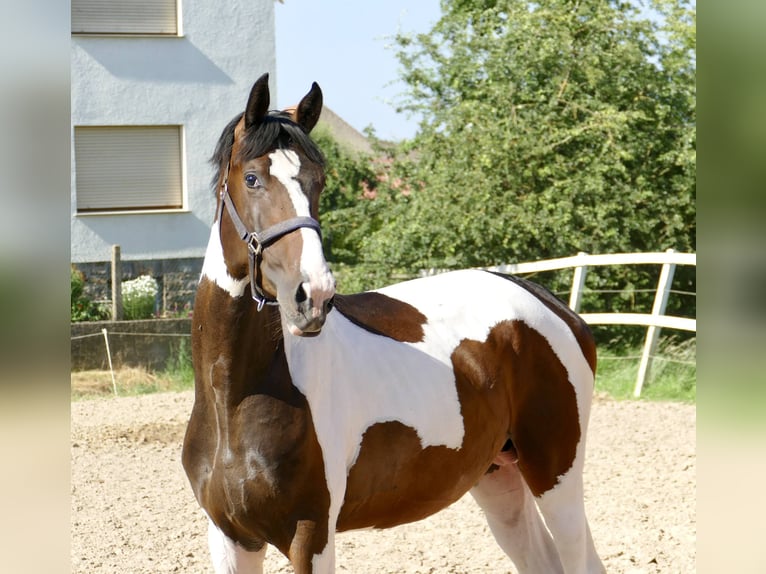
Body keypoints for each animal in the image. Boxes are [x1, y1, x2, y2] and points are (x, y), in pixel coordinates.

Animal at [183, 73, 608, 574]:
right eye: (251, 179)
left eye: (318, 181)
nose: (314, 295)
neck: (235, 397)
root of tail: (552, 306)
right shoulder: (231, 537)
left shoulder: (310, 534)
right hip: (497, 478)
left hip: (556, 475)